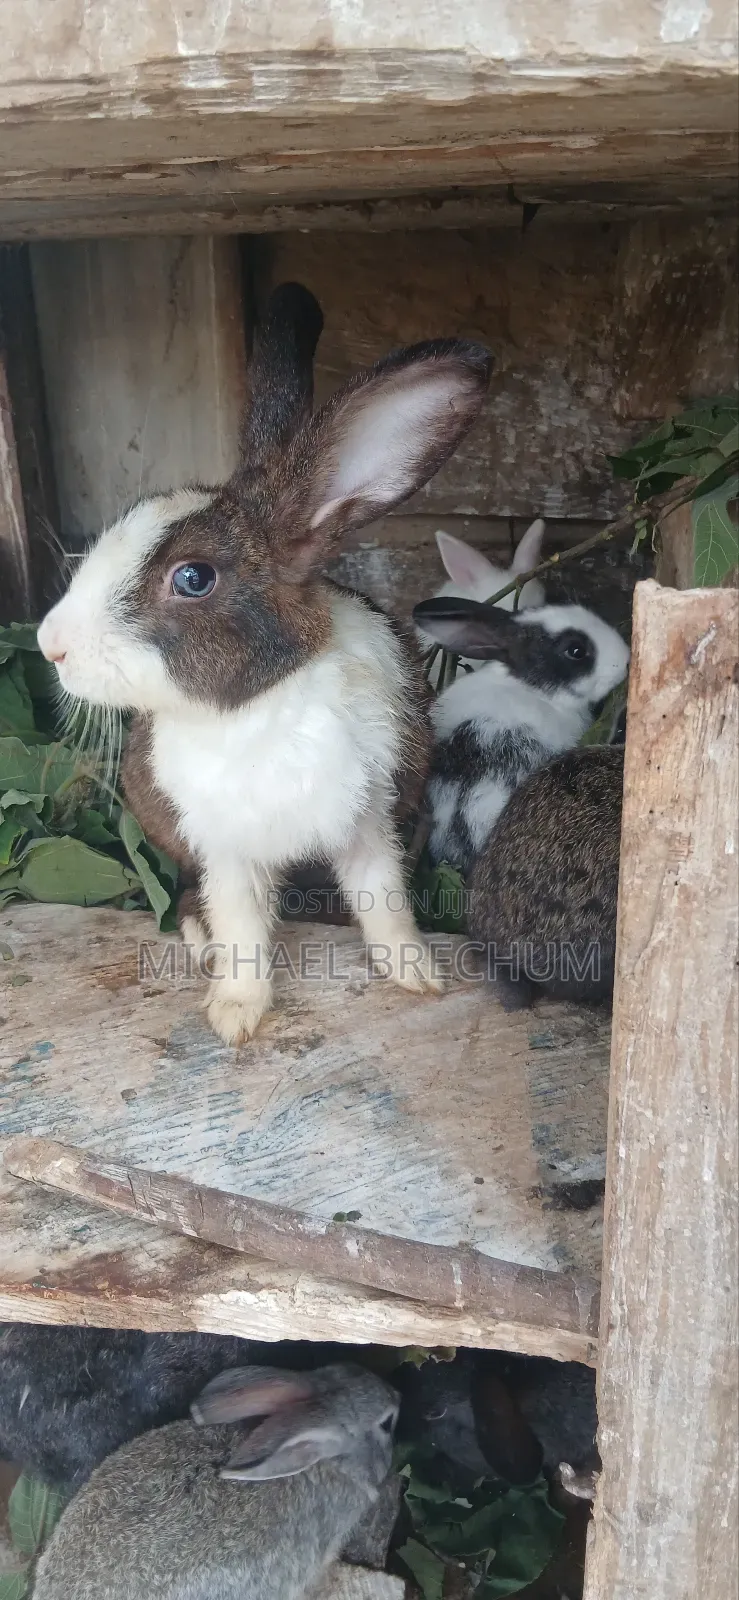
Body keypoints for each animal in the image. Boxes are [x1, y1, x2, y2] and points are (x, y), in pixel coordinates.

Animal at [37, 283, 493, 1045]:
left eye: (193, 578)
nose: (51, 644)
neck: (260, 711)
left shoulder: (369, 822)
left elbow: (383, 901)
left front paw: (417, 975)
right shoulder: (224, 849)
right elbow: (242, 923)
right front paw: (235, 1014)